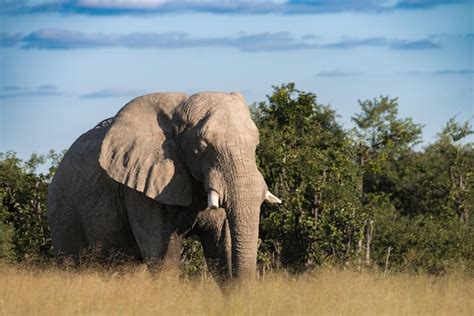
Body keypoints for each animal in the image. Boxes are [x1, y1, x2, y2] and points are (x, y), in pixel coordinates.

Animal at [47, 92, 282, 284]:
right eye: (201, 148)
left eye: (255, 145)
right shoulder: (140, 191)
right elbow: (164, 263)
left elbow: (222, 253)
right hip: (63, 211)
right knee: (72, 267)